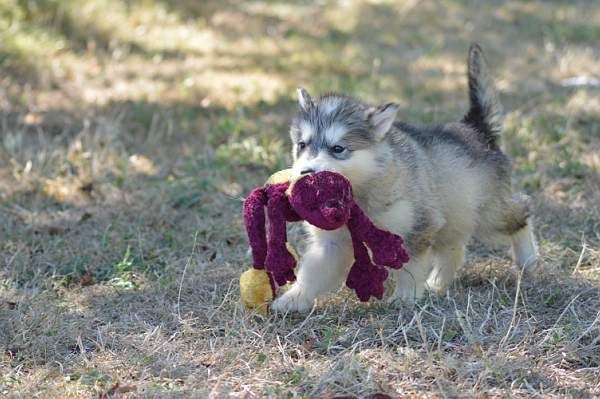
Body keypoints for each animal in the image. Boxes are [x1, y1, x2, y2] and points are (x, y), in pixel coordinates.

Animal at [272, 43, 540, 312]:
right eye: (302, 145)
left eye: (338, 148)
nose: (306, 173)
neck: (360, 191)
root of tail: (476, 129)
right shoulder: (332, 244)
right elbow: (313, 273)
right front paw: (292, 300)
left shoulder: (417, 228)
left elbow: (409, 267)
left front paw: (405, 297)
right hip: (453, 217)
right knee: (453, 250)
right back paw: (436, 284)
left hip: (489, 216)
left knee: (522, 212)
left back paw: (528, 259)